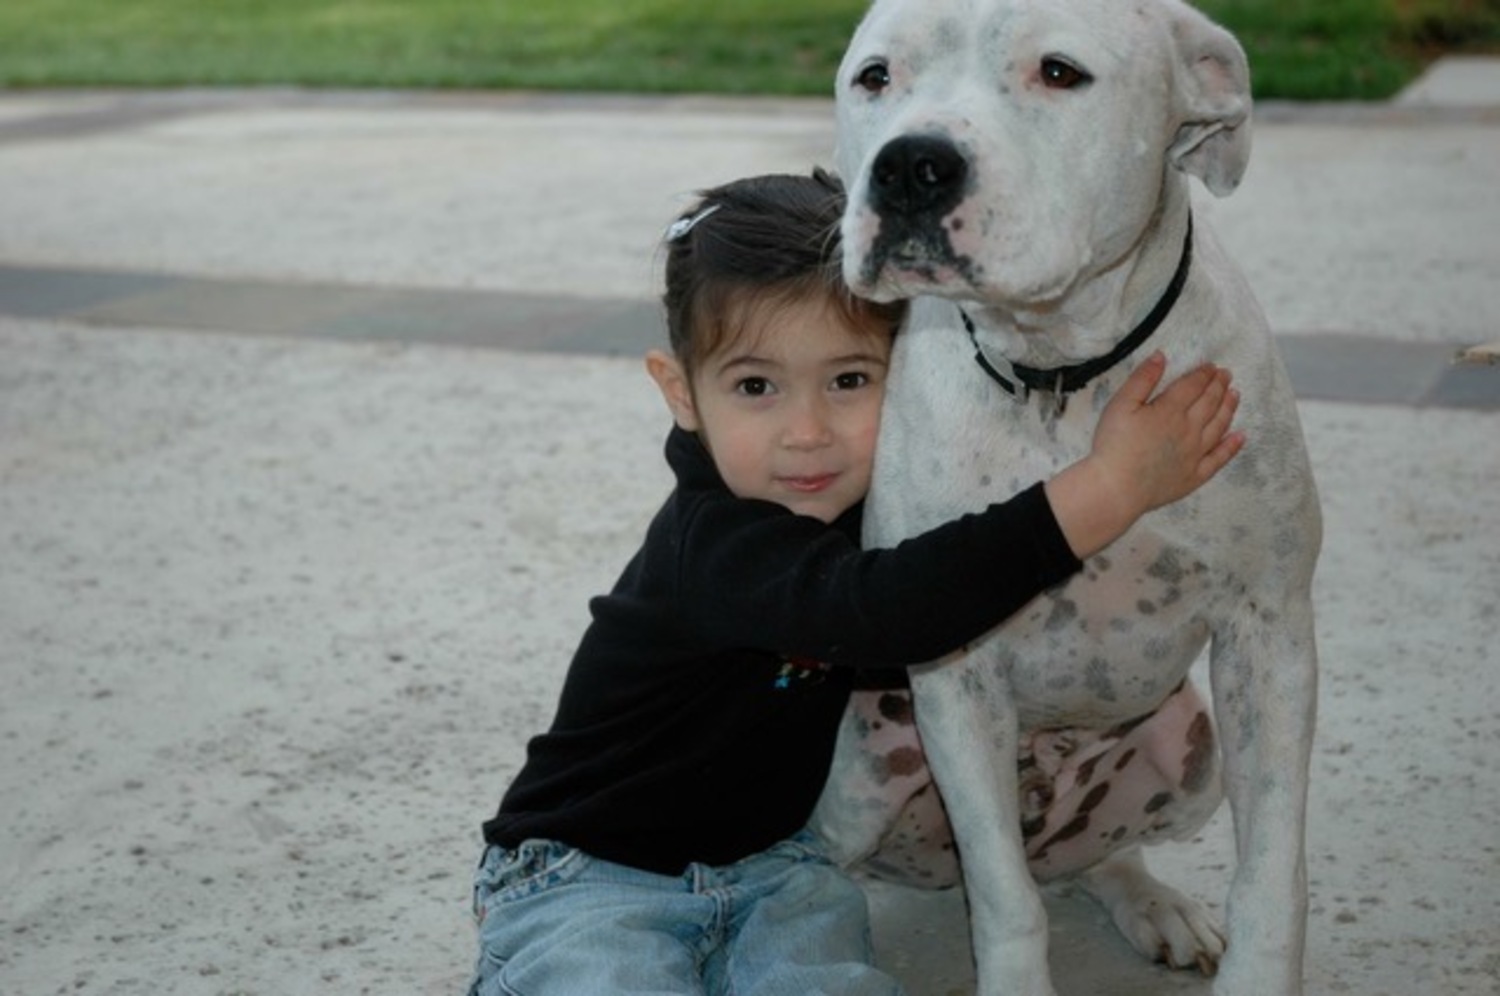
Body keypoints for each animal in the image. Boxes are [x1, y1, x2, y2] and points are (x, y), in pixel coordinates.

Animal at [816, 1, 1320, 996]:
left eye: (1060, 72)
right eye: (875, 77)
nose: (909, 164)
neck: (1064, 373)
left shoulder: (1271, 635)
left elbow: (1272, 870)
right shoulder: (957, 678)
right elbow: (1005, 898)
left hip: (1194, 754)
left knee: (1101, 859)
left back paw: (1154, 904)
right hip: (858, 780)